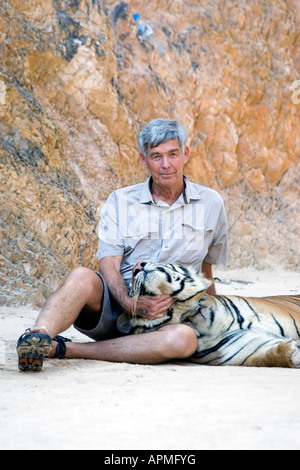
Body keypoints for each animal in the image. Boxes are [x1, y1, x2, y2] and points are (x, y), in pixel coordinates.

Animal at [116, 260, 300, 368]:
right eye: (130, 286)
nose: (137, 267)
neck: (189, 313)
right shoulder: (247, 347)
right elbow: (271, 355)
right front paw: (293, 352)